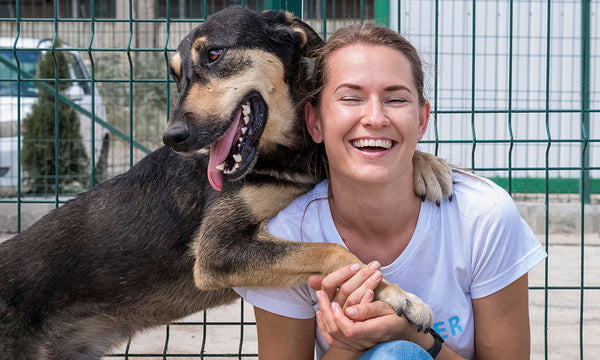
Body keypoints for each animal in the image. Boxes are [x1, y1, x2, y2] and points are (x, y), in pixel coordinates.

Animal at [0, 7, 450, 358]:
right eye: (176, 75)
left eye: (215, 54)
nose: (172, 137)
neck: (287, 154)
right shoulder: (216, 251)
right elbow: (331, 249)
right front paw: (398, 294)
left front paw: (430, 167)